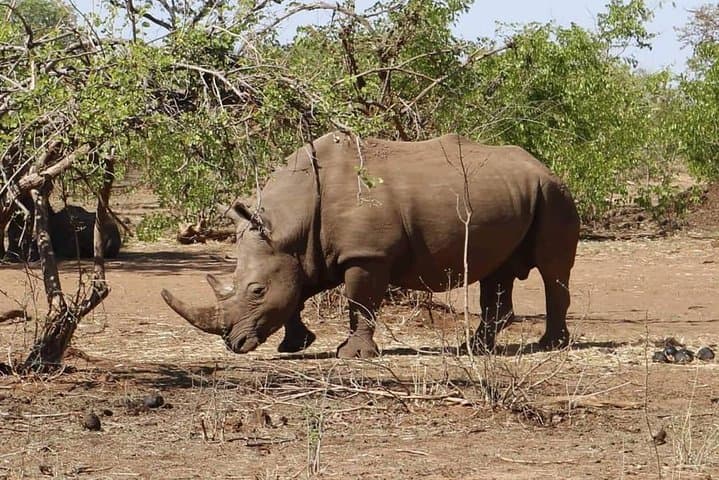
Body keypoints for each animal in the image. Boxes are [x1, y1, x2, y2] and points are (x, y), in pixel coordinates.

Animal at [162, 132, 580, 358]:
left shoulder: (366, 255)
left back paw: (549, 345)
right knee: (497, 268)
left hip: (554, 193)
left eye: (256, 290)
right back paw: (475, 348)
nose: (234, 344)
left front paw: (352, 355)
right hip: (515, 195)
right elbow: (296, 294)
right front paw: (295, 345)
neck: (290, 223)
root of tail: (544, 165)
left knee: (552, 270)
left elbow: (360, 302)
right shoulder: (307, 252)